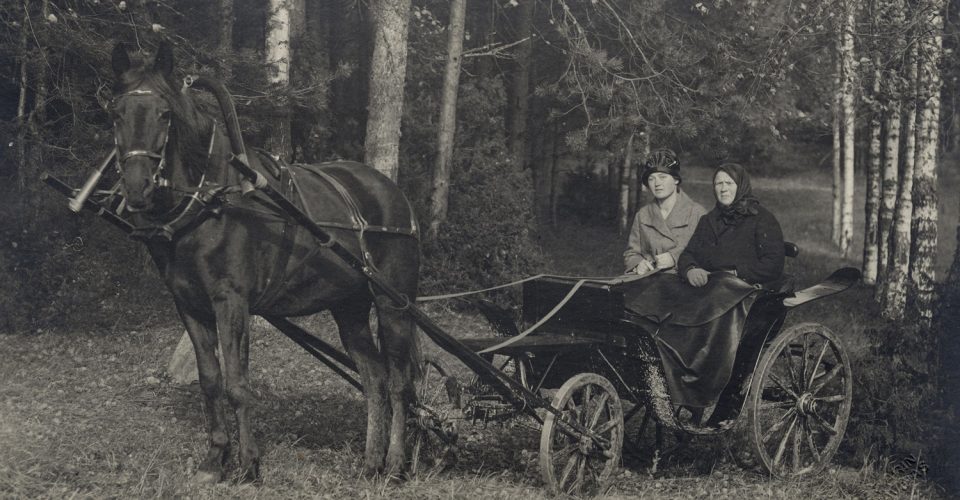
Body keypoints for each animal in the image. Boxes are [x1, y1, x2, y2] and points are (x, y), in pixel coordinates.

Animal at [108, 41, 420, 482]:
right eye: (116, 112)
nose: (137, 188)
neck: (210, 202)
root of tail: (393, 194)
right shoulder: (189, 305)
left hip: (394, 305)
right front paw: (214, 459)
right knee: (374, 378)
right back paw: (371, 461)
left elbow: (238, 384)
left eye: (164, 113)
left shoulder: (232, 302)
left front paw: (249, 464)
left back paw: (394, 463)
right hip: (350, 307)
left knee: (397, 382)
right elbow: (210, 380)